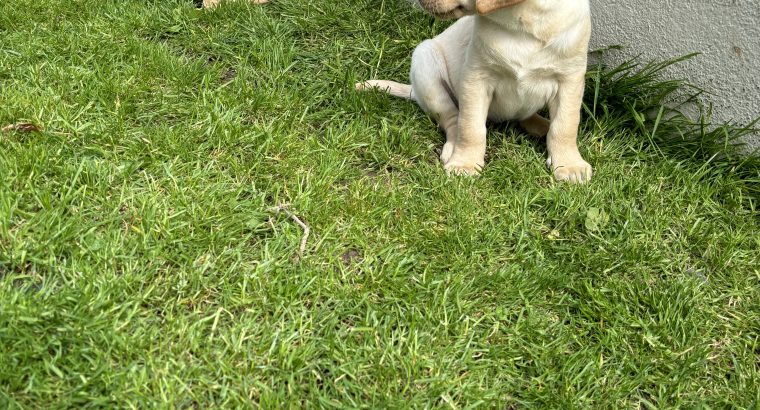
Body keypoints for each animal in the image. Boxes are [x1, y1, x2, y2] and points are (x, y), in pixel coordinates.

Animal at [356, 0, 592, 183]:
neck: (522, 23)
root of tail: (415, 90)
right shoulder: (476, 79)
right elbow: (471, 127)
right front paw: (465, 163)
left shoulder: (570, 80)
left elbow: (565, 126)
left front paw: (569, 165)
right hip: (427, 65)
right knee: (453, 120)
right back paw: (453, 148)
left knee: (527, 118)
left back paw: (543, 126)